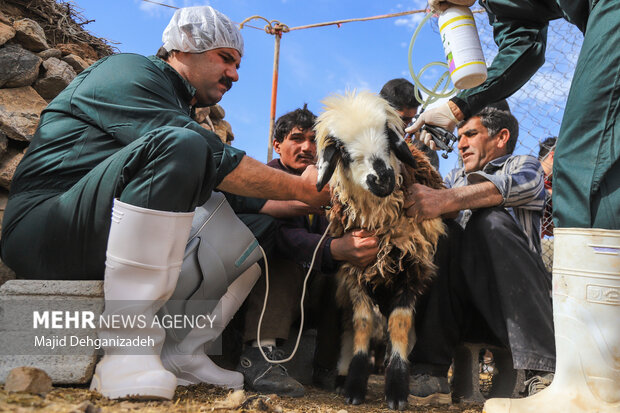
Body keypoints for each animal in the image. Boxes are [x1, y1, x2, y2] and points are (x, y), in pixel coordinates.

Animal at [314, 90, 446, 408]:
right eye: (343, 150)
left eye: (387, 135)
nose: (383, 178)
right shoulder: (355, 271)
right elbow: (362, 324)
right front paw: (354, 386)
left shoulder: (412, 269)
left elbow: (399, 325)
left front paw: (397, 388)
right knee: (350, 327)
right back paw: (342, 375)